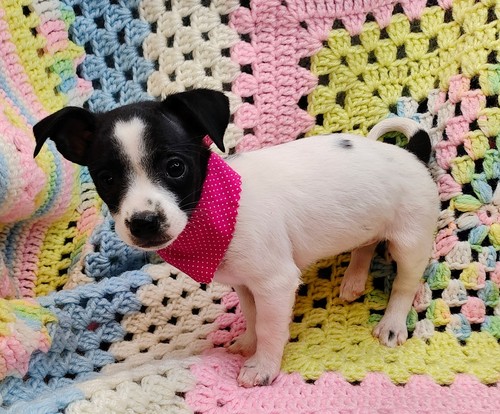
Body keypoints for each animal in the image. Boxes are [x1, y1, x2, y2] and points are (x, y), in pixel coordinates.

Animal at [33, 89, 440, 388]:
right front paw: (249, 343)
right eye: (107, 179)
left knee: (404, 283)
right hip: (370, 221)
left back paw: (393, 322)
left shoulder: (275, 283)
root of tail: (412, 154)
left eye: (175, 168)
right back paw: (354, 280)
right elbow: (252, 314)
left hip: (410, 239)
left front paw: (263, 366)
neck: (215, 210)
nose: (144, 223)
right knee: (366, 243)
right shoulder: (245, 283)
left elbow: (271, 326)